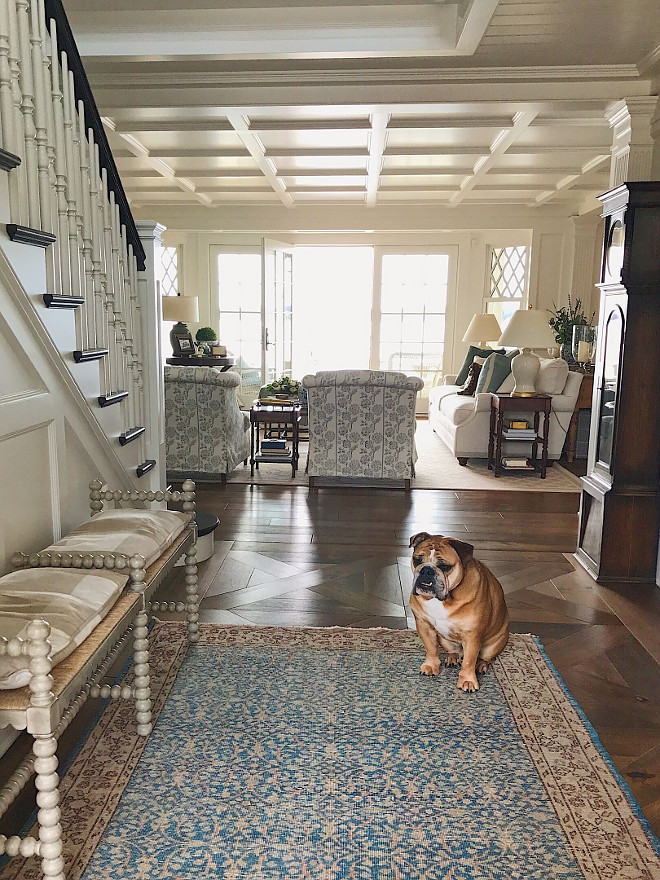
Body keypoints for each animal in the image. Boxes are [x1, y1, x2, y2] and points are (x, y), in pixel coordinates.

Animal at [408, 532, 510, 692]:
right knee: (454, 650)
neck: (443, 599)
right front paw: (430, 666)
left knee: (485, 657)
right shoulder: (424, 626)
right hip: (445, 641)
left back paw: (480, 665)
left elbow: (468, 661)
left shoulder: (472, 636)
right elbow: (431, 648)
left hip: (493, 645)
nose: (426, 570)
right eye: (417, 560)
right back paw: (453, 657)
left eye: (444, 566)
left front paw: (468, 681)